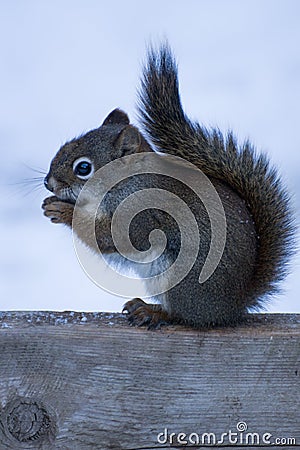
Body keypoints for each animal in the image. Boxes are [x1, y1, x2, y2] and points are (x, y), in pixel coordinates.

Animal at [42, 44, 296, 328]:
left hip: (183, 280)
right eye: (65, 147)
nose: (48, 183)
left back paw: (153, 312)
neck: (128, 182)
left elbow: (113, 236)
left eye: (83, 168)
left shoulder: (141, 213)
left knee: (183, 317)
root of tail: (230, 309)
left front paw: (64, 211)